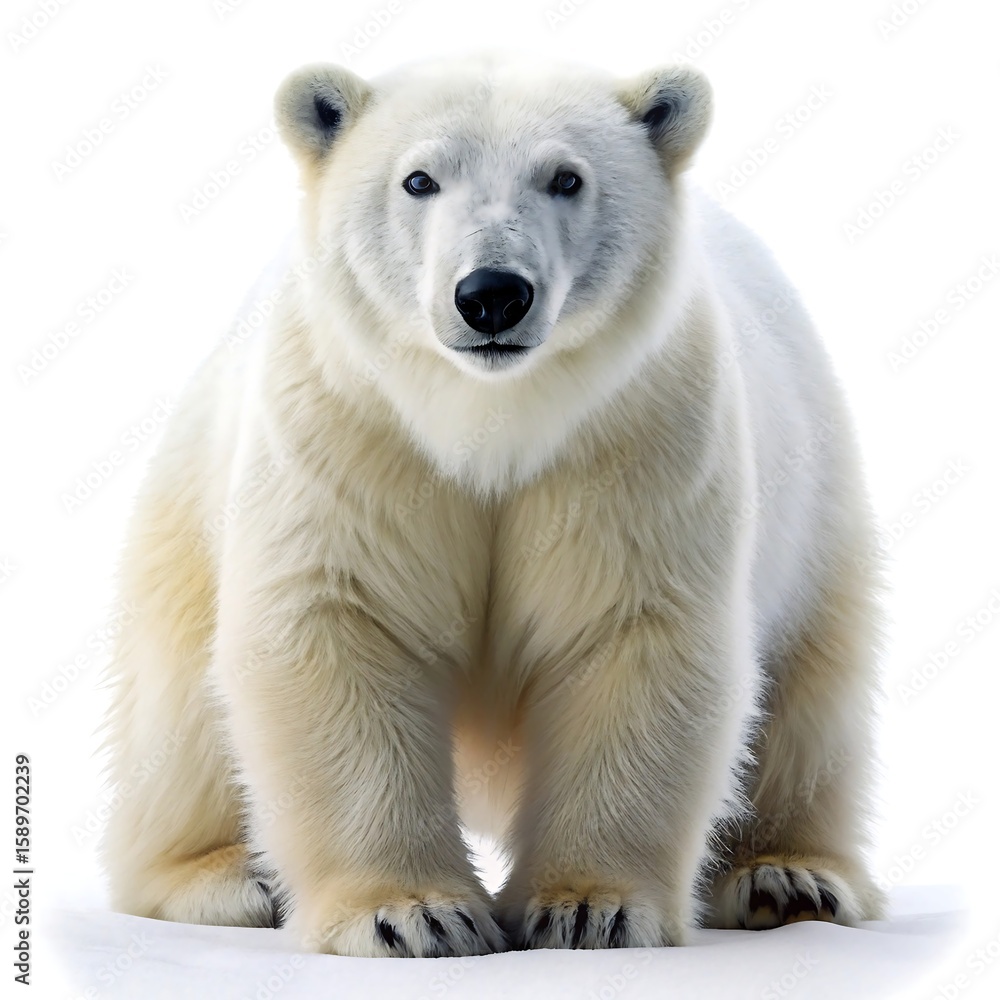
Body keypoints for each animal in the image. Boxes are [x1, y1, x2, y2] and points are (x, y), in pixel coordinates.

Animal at [99, 55, 887, 956]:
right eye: (419, 177)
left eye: (566, 177)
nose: (492, 293)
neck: (490, 416)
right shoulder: (349, 424)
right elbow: (335, 621)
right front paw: (412, 915)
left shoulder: (636, 430)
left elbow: (633, 632)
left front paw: (587, 909)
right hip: (188, 510)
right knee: (180, 718)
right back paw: (230, 879)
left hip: (821, 511)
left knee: (810, 702)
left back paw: (786, 876)